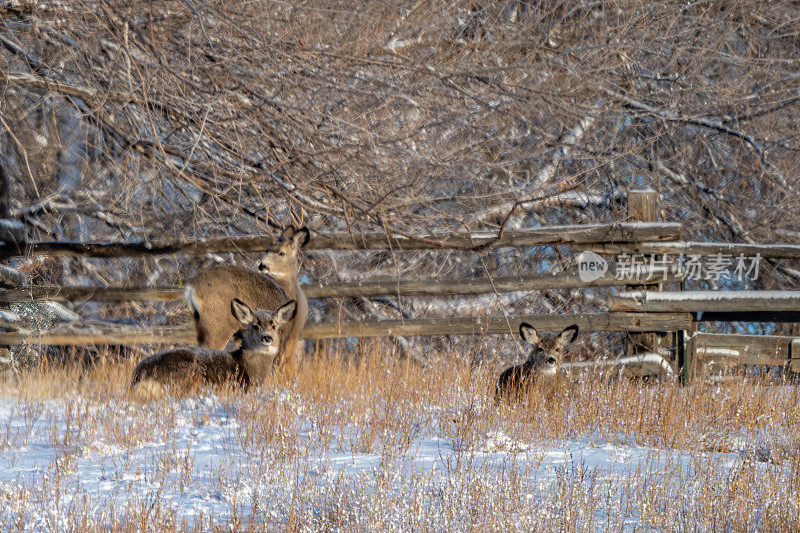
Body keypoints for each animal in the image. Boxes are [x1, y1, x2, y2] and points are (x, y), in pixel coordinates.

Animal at [186, 224, 310, 366]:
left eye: (281, 253)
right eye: (266, 250)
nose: (262, 265)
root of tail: (191, 287)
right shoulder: (285, 334)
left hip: (200, 324)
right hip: (217, 325)